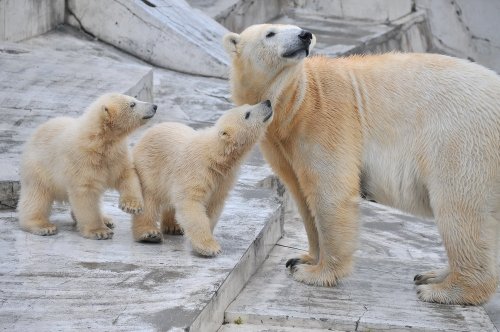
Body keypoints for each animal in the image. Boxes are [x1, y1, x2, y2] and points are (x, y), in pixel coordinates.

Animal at [225, 23, 500, 304]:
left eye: (295, 29)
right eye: (270, 33)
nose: (305, 35)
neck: (295, 101)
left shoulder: (326, 118)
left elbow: (330, 193)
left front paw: (315, 273)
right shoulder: (281, 143)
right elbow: (301, 195)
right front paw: (302, 258)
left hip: (462, 138)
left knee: (458, 207)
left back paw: (443, 289)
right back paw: (433, 276)